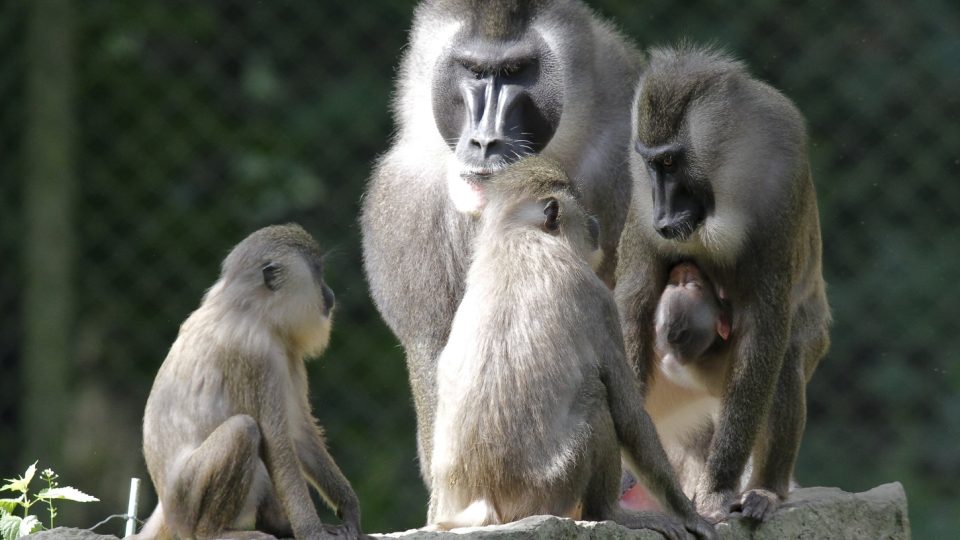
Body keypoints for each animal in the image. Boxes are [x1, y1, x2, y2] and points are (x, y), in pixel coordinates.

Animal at [134, 224, 360, 540]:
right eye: (318, 273)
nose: (329, 294)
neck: (250, 307)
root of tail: (167, 508)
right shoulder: (256, 353)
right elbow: (278, 443)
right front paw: (311, 532)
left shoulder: (287, 352)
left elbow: (298, 433)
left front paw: (349, 509)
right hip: (187, 503)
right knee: (244, 429)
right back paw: (214, 532)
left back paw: (278, 526)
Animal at [432, 157, 716, 540]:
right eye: (578, 203)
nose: (594, 221)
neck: (518, 236)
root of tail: (484, 500)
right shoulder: (597, 296)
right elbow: (628, 414)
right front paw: (689, 515)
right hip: (553, 485)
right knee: (597, 397)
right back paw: (610, 513)